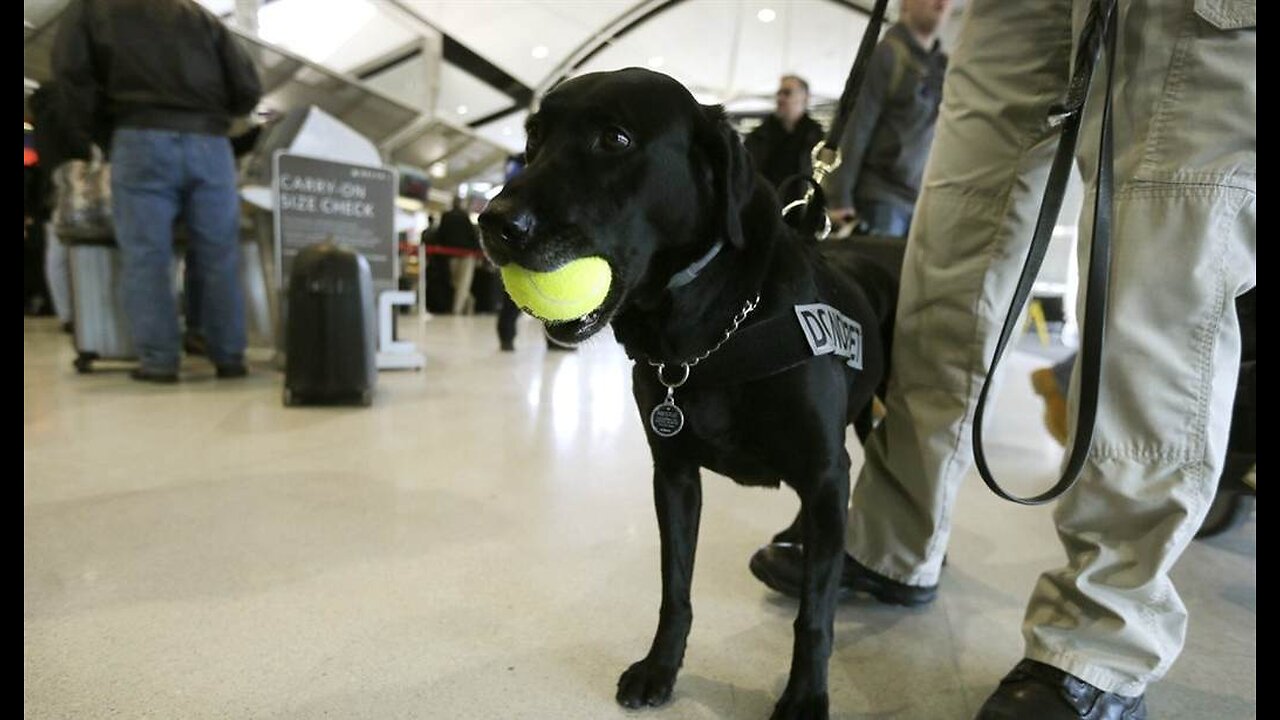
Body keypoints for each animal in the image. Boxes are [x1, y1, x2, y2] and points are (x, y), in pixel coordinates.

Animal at [478, 68, 901, 717]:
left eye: (616, 138)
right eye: (532, 139)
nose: (494, 222)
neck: (711, 328)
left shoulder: (824, 468)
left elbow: (815, 615)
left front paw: (805, 695)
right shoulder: (674, 476)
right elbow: (674, 587)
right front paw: (661, 666)